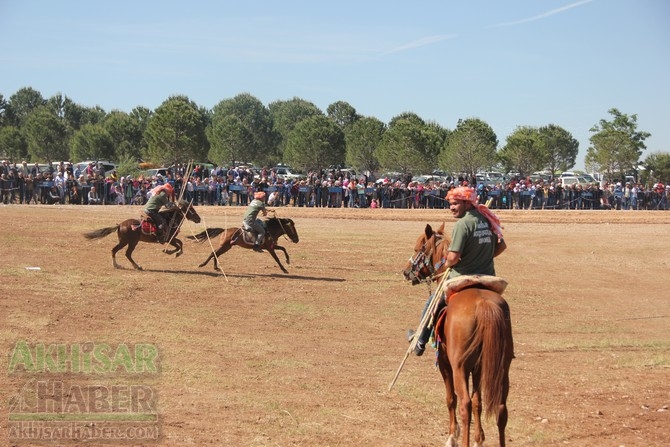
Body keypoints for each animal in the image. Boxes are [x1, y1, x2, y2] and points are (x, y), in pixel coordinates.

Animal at [402, 224, 516, 447]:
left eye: (418, 248)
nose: (406, 271)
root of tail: (484, 305)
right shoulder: (479, 367)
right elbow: (478, 401)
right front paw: (479, 439)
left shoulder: (445, 363)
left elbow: (451, 399)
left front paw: (452, 436)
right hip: (502, 365)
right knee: (500, 408)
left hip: (459, 366)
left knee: (464, 403)